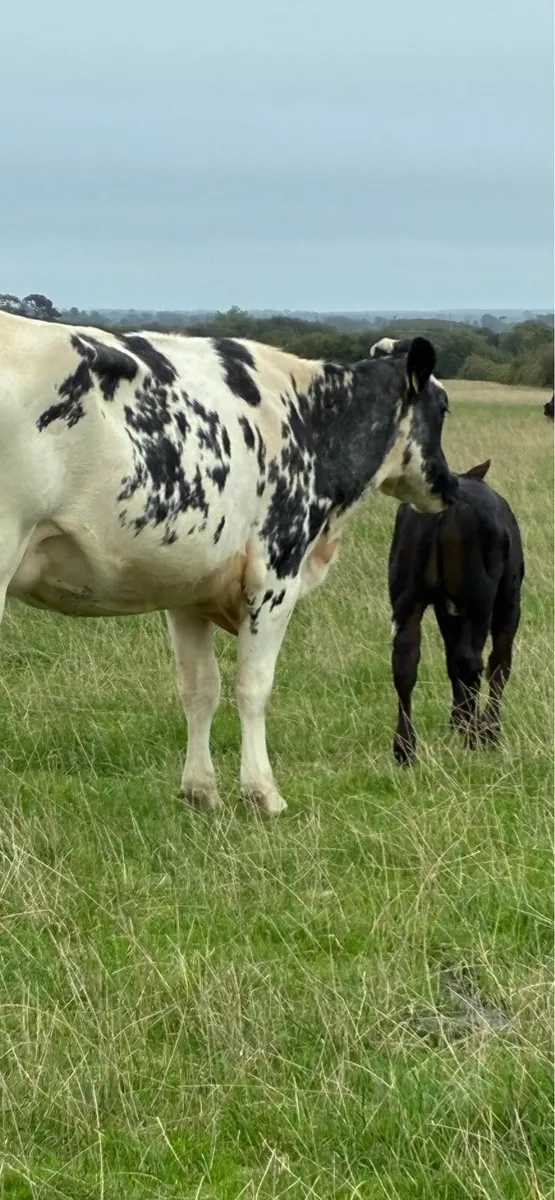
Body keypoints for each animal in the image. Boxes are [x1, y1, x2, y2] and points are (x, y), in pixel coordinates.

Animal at [0, 311, 458, 814]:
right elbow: (253, 687)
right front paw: (262, 793)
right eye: (444, 407)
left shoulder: (188, 589)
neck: (311, 417)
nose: (450, 485)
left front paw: (200, 791)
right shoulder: (275, 575)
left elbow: (200, 689)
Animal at [388, 459, 524, 765]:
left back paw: (405, 749)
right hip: (481, 599)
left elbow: (450, 663)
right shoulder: (509, 601)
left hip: (408, 599)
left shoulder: (444, 607)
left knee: (405, 663)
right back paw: (476, 736)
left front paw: (458, 721)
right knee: (473, 661)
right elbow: (500, 663)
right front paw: (488, 731)